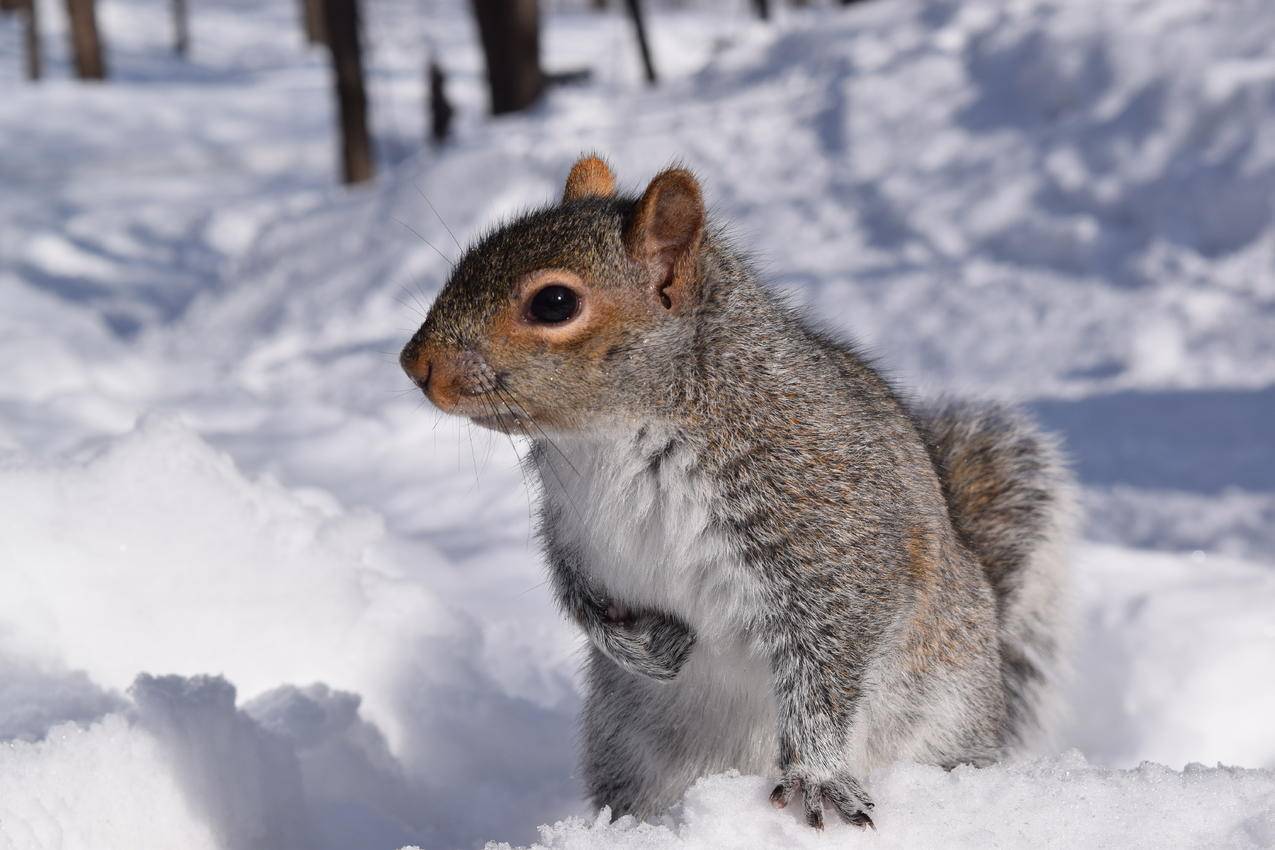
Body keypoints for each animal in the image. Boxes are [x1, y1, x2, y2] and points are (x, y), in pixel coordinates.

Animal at [400, 154, 1076, 830]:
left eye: (555, 302)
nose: (414, 363)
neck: (609, 438)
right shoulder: (570, 527)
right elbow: (577, 596)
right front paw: (644, 647)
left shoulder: (831, 523)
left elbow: (829, 654)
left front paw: (816, 774)